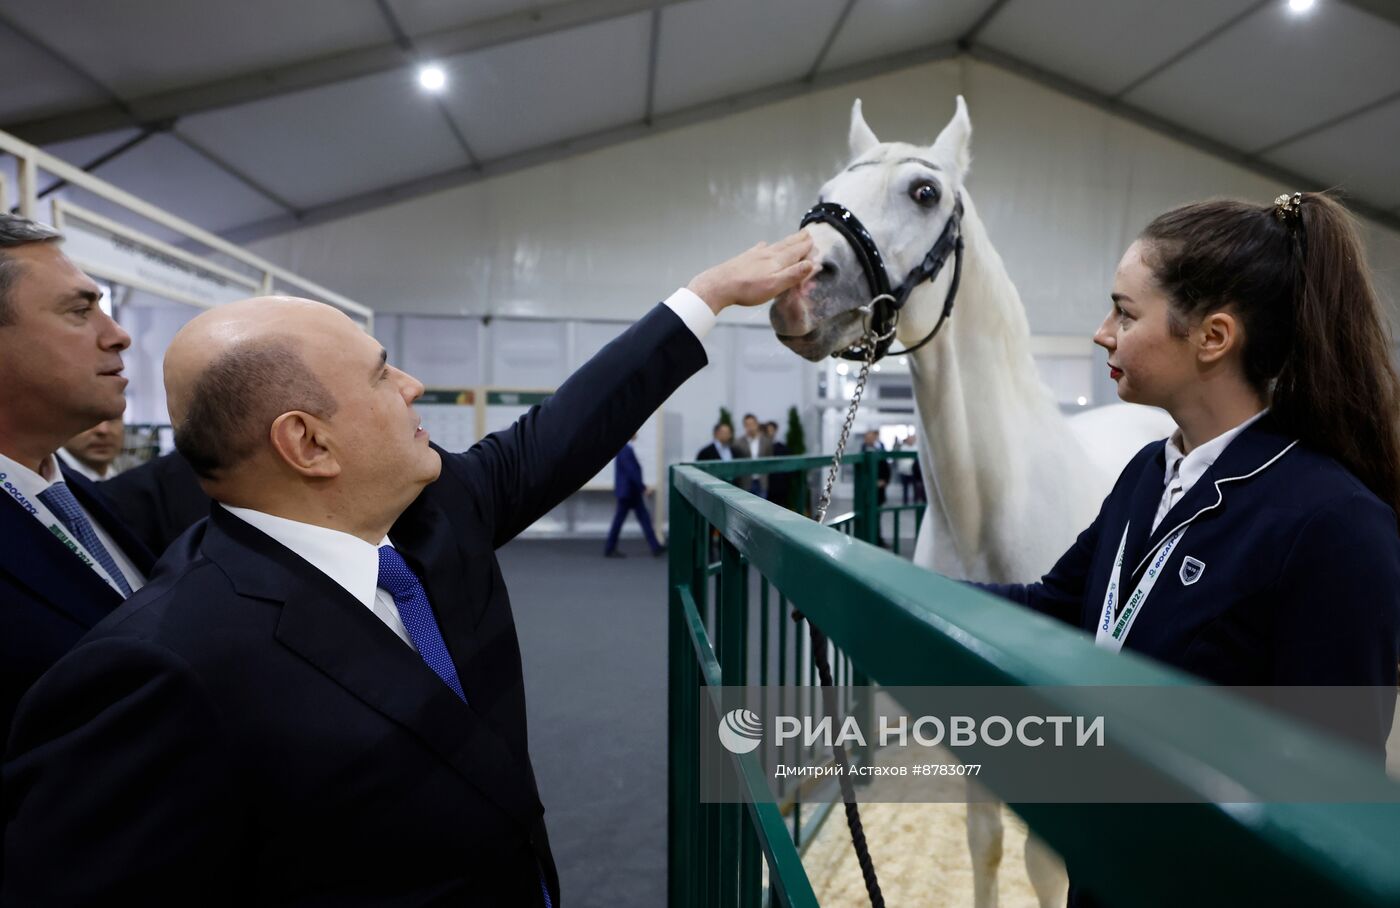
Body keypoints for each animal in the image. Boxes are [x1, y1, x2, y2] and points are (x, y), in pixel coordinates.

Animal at [772, 95, 1176, 901]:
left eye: (925, 192)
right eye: (830, 185)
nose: (797, 288)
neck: (991, 510)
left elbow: (1044, 869)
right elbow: (984, 843)